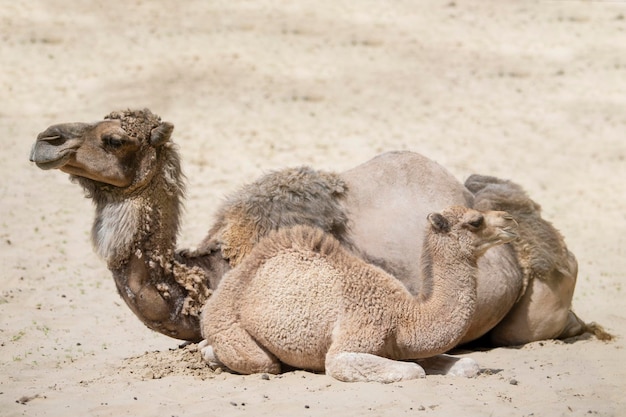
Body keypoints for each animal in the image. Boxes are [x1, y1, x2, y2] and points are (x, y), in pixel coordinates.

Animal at [201, 205, 516, 380]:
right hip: (227, 323)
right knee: (260, 361)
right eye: (475, 221)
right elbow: (413, 371)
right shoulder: (358, 333)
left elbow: (468, 364)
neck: (405, 317)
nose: (510, 221)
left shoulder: (402, 347)